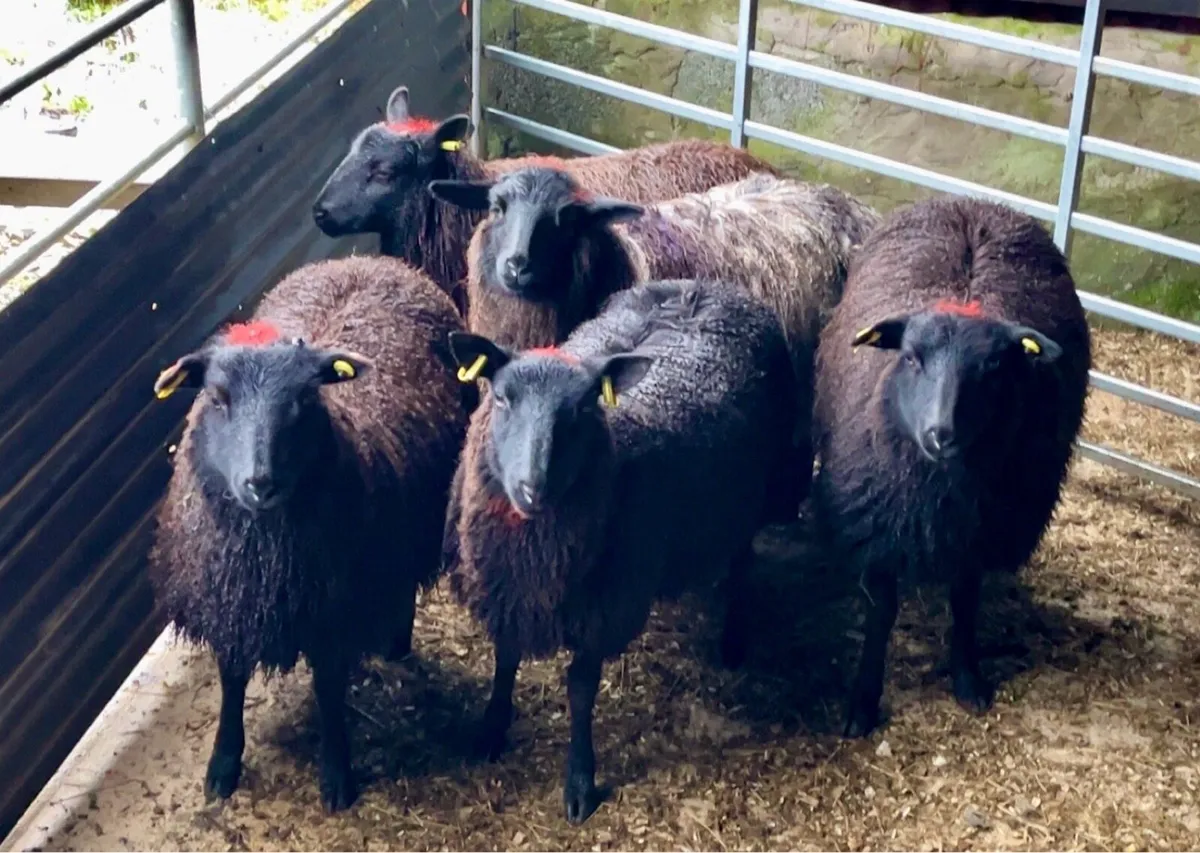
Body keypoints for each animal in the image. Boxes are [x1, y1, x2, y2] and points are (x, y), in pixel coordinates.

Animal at [147, 256, 472, 811]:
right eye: (217, 396)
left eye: (303, 397)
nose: (260, 482)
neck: (263, 552)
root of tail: (374, 261)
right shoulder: (230, 601)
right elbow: (232, 682)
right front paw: (223, 766)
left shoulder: (333, 613)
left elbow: (329, 692)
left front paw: (337, 773)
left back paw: (396, 645)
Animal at [445, 278, 800, 824]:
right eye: (502, 398)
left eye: (581, 409)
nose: (532, 488)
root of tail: (707, 285)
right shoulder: (507, 589)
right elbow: (505, 657)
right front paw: (490, 728)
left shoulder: (605, 606)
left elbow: (580, 688)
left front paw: (579, 782)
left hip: (751, 492)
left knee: (742, 565)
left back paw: (733, 640)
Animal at [811, 195, 1092, 738]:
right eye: (911, 358)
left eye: (993, 368)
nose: (942, 433)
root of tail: (973, 203)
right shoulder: (882, 527)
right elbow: (880, 614)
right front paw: (862, 703)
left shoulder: (979, 532)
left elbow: (965, 602)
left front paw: (967, 679)